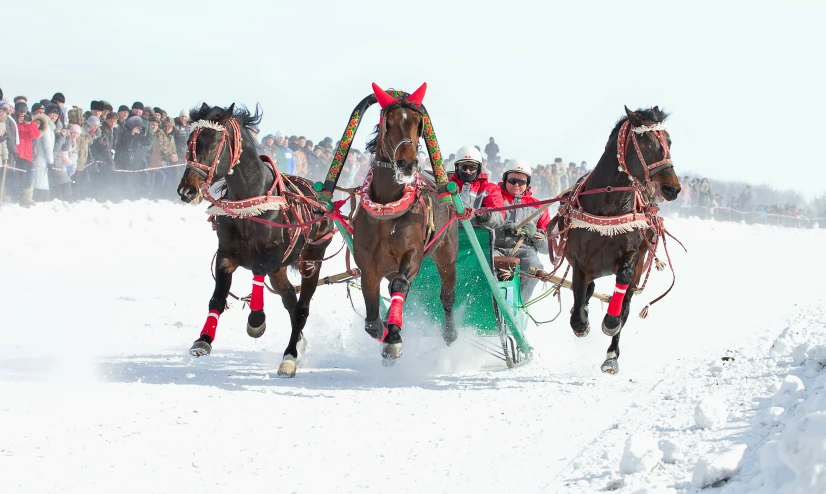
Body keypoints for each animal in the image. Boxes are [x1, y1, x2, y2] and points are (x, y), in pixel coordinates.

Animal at [178, 102, 334, 376]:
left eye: (213, 144)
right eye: (190, 142)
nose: (187, 190)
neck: (250, 206)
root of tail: (321, 200)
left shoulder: (273, 255)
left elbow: (257, 271)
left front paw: (256, 320)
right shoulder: (226, 255)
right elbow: (217, 297)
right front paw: (203, 340)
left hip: (312, 260)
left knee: (301, 308)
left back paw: (290, 356)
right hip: (281, 271)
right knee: (290, 301)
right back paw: (298, 343)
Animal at [352, 84, 460, 362]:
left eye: (418, 124)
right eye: (388, 123)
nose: (407, 163)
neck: (386, 211)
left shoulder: (412, 252)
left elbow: (401, 284)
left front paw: (393, 339)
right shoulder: (367, 264)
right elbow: (371, 320)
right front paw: (383, 329)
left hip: (447, 254)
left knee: (446, 296)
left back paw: (449, 333)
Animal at [552, 105, 676, 374]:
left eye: (669, 141)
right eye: (647, 143)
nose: (673, 188)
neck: (608, 205)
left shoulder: (633, 253)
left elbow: (624, 282)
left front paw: (610, 322)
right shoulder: (580, 261)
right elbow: (579, 298)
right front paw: (580, 321)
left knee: (625, 305)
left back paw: (611, 354)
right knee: (587, 291)